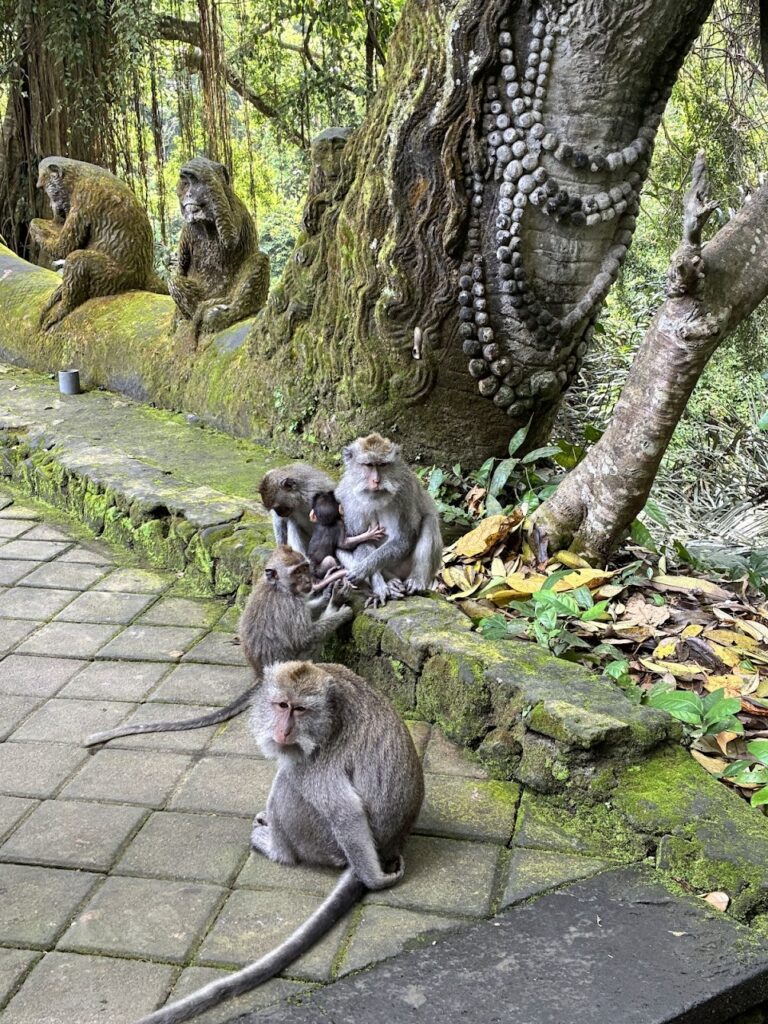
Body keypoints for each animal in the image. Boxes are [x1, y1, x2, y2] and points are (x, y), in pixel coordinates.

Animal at [83, 547, 352, 749]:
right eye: (298, 572)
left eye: (306, 568)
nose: (309, 581)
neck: (277, 587)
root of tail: (261, 677)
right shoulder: (290, 605)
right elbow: (304, 637)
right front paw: (338, 608)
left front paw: (327, 593)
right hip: (301, 663)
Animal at [133, 659, 424, 1024]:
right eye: (281, 705)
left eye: (299, 709)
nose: (284, 732)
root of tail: (390, 843)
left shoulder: (320, 756)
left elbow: (343, 809)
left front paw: (375, 880)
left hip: (322, 841)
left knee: (289, 776)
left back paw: (277, 848)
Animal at [334, 433, 444, 607]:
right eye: (368, 465)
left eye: (383, 465)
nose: (376, 481)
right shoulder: (345, 500)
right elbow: (357, 541)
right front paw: (378, 584)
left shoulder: (405, 492)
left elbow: (403, 539)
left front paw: (365, 568)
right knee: (339, 549)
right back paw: (390, 581)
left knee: (429, 521)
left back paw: (417, 580)